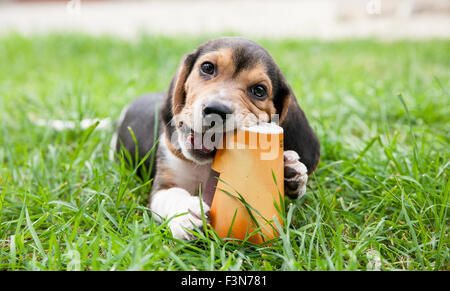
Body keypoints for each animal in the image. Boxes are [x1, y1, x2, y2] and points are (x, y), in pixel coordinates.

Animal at [114, 37, 322, 241]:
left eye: (259, 90)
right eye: (207, 67)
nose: (216, 110)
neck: (204, 165)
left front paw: (290, 172)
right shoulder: (163, 184)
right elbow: (172, 194)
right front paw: (185, 216)